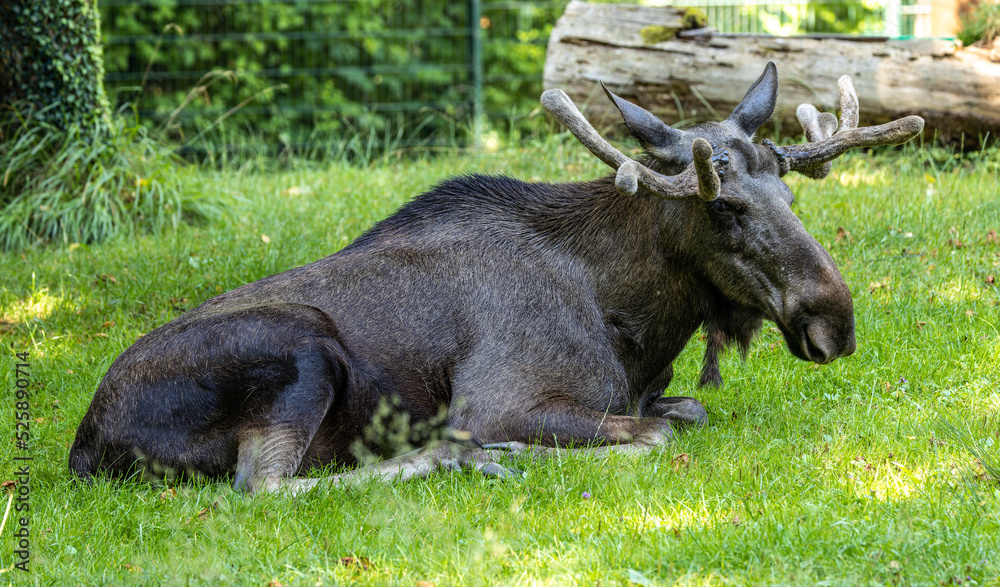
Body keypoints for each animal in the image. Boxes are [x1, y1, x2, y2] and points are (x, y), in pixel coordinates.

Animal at [69, 63, 924, 494]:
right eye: (725, 208)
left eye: (789, 194)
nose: (834, 320)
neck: (633, 322)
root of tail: (83, 445)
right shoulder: (502, 398)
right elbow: (653, 435)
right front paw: (493, 449)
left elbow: (686, 412)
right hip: (302, 350)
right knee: (263, 485)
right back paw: (453, 458)